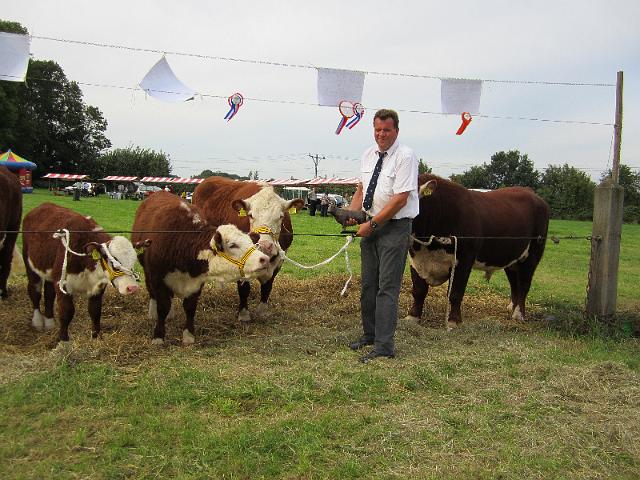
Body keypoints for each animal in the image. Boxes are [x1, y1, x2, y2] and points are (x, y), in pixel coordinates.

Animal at [22, 202, 144, 342]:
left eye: (134, 261)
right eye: (114, 262)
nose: (132, 288)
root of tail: (43, 205)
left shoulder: (98, 287)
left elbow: (95, 311)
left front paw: (96, 338)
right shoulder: (62, 282)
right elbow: (66, 312)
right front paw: (63, 341)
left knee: (49, 293)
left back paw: (49, 322)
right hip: (30, 265)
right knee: (34, 290)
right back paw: (37, 321)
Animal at [130, 189, 270, 344]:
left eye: (251, 243)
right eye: (233, 245)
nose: (264, 259)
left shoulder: (197, 281)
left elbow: (190, 307)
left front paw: (188, 335)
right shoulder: (158, 278)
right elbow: (163, 307)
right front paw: (158, 336)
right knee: (151, 291)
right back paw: (153, 312)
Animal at [192, 176, 304, 322]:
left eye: (281, 216)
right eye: (250, 215)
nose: (265, 245)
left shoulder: (278, 261)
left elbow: (267, 287)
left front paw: (262, 312)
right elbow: (244, 288)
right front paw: (244, 314)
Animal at [408, 173, 548, 330]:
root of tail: (530, 191)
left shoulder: (464, 259)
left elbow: (455, 292)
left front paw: (454, 321)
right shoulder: (416, 259)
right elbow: (419, 290)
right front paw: (413, 317)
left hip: (533, 254)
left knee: (524, 283)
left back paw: (518, 315)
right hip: (512, 257)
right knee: (514, 282)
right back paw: (512, 307)